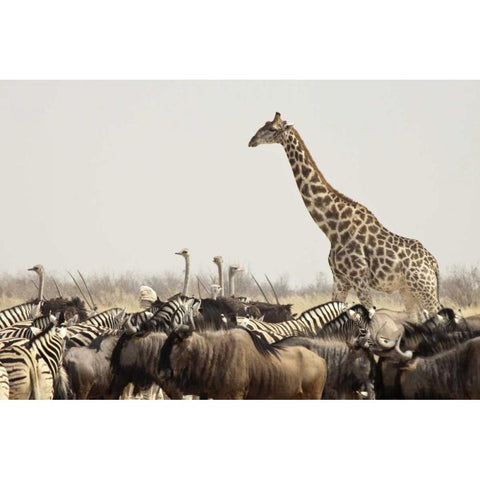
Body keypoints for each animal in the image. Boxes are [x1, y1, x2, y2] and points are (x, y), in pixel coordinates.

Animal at [249, 112, 440, 320]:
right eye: (264, 124)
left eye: (272, 129)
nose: (252, 141)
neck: (333, 228)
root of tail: (434, 263)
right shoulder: (340, 279)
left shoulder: (359, 277)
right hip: (407, 290)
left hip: (424, 288)